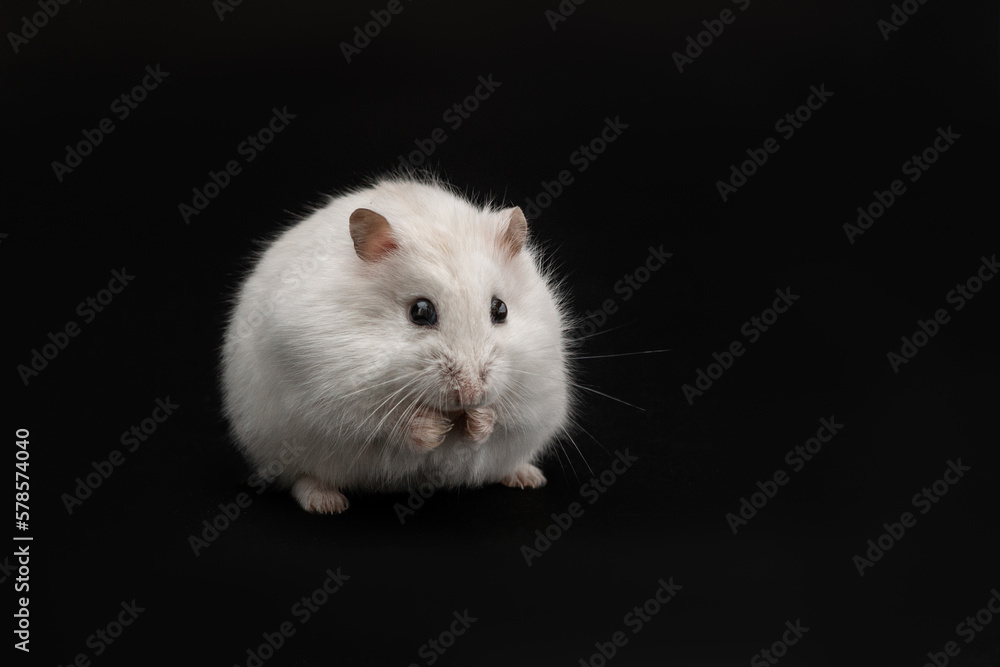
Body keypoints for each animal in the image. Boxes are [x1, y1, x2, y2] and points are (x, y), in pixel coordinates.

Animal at [221, 175, 574, 513]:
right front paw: (435, 429)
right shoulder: (334, 394)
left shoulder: (536, 388)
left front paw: (476, 421)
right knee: (302, 478)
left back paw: (529, 478)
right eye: (420, 311)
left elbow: (500, 419)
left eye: (500, 309)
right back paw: (327, 504)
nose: (471, 393)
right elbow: (387, 425)